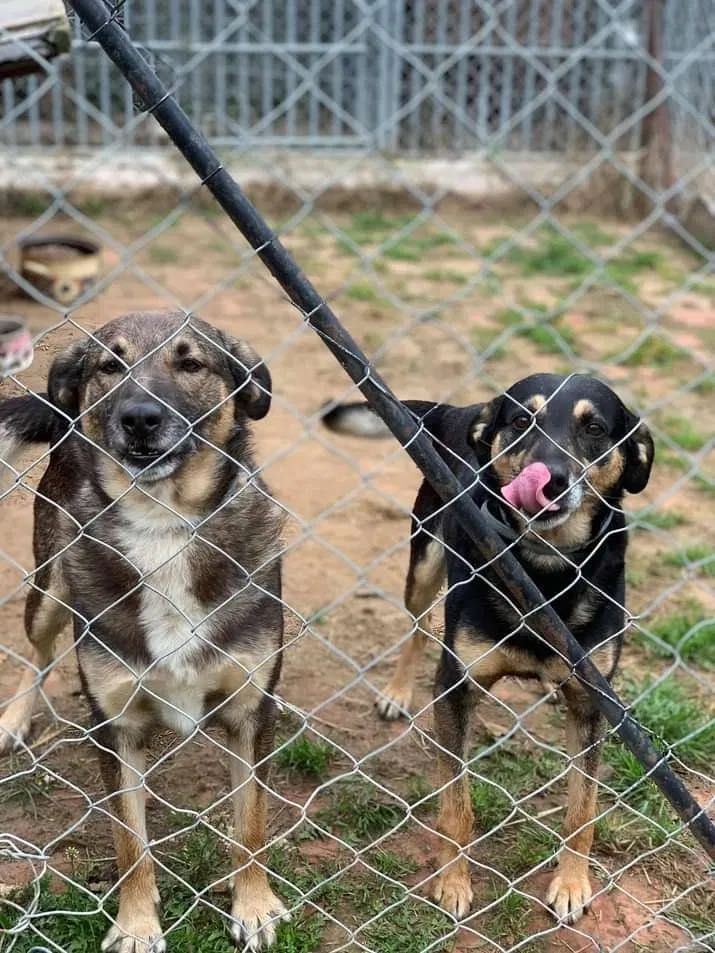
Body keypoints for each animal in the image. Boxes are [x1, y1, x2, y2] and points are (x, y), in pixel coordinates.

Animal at [2, 312, 288, 952]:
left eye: (192, 363)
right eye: (110, 366)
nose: (140, 418)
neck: (165, 524)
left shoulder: (249, 714)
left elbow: (251, 824)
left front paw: (254, 907)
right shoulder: (116, 727)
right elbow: (130, 842)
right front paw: (136, 927)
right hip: (50, 587)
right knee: (37, 653)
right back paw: (13, 718)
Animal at [324, 372, 656, 924]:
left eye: (595, 428)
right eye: (522, 420)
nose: (552, 480)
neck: (545, 571)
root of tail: (458, 412)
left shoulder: (591, 703)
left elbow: (582, 809)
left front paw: (572, 884)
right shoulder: (457, 688)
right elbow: (457, 806)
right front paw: (453, 883)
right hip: (425, 561)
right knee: (420, 624)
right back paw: (397, 692)